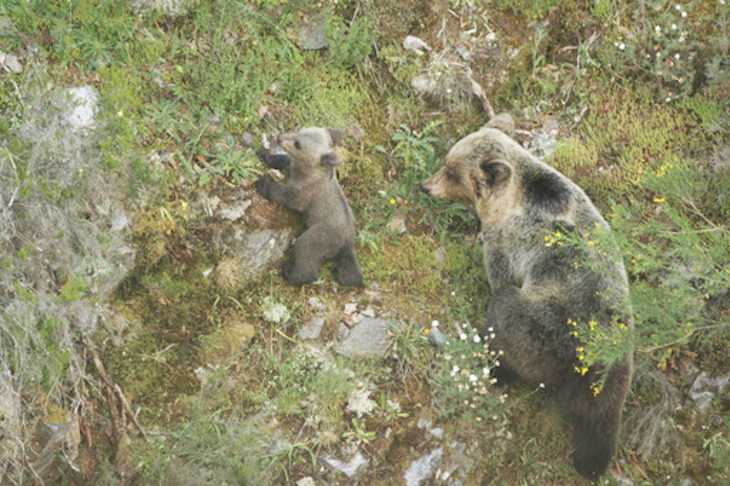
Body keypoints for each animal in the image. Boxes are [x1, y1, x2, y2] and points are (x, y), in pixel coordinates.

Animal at [256, 126, 364, 287]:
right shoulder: (295, 167)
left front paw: (263, 183)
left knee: (306, 247)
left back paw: (291, 272)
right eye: (299, 132)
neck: (308, 169)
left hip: (324, 234)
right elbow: (284, 160)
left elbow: (290, 197)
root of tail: (348, 242)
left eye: (298, 144)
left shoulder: (307, 189)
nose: (279, 138)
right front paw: (265, 154)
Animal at [420, 113, 633, 479]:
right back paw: (592, 460)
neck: (511, 199)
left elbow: (499, 277)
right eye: (446, 163)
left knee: (507, 319)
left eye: (451, 173)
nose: (425, 185)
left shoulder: (505, 243)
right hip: (611, 372)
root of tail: (595, 356)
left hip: (542, 327)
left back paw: (489, 360)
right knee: (597, 416)